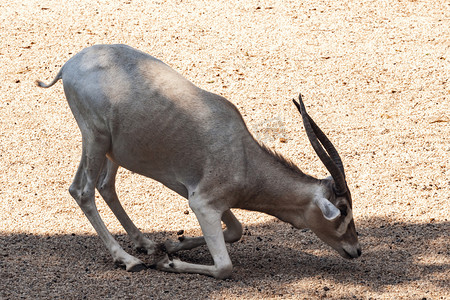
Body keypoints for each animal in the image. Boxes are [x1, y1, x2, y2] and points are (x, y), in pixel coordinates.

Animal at [37, 44, 362, 278]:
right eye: (343, 210)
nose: (356, 250)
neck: (244, 158)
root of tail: (70, 65)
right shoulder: (203, 204)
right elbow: (225, 267)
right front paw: (168, 263)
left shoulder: (204, 197)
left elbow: (236, 231)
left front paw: (172, 244)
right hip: (96, 138)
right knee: (83, 191)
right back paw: (128, 259)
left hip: (111, 150)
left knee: (103, 186)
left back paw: (145, 243)